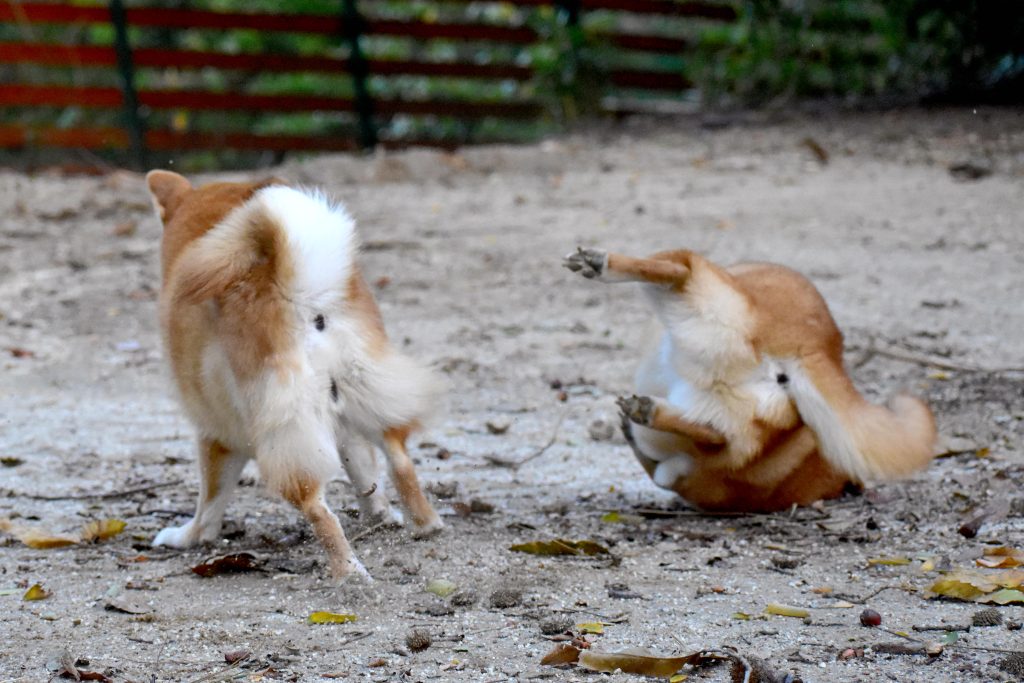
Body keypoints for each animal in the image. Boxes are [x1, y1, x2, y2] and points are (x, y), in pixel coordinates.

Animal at [146, 174, 442, 581]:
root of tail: (301, 295)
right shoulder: (339, 421)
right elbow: (364, 474)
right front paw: (380, 516)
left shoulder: (215, 431)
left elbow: (209, 502)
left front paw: (187, 536)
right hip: (363, 392)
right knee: (399, 459)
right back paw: (425, 524)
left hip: (285, 435)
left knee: (319, 510)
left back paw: (350, 574)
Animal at [565, 246, 937, 511]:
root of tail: (810, 346)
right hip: (740, 419)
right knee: (714, 434)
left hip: (705, 296)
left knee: (679, 270)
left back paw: (601, 264)